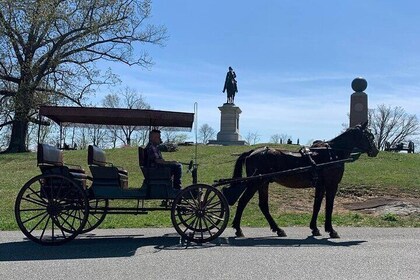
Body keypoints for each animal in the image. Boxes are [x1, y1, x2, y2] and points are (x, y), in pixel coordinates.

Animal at [228, 121, 378, 238]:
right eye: (369, 135)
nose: (375, 151)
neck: (332, 153)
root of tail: (252, 152)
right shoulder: (331, 185)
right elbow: (329, 206)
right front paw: (331, 230)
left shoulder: (320, 185)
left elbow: (317, 205)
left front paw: (315, 228)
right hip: (255, 182)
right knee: (242, 202)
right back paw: (238, 229)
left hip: (263, 183)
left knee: (263, 205)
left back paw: (278, 229)